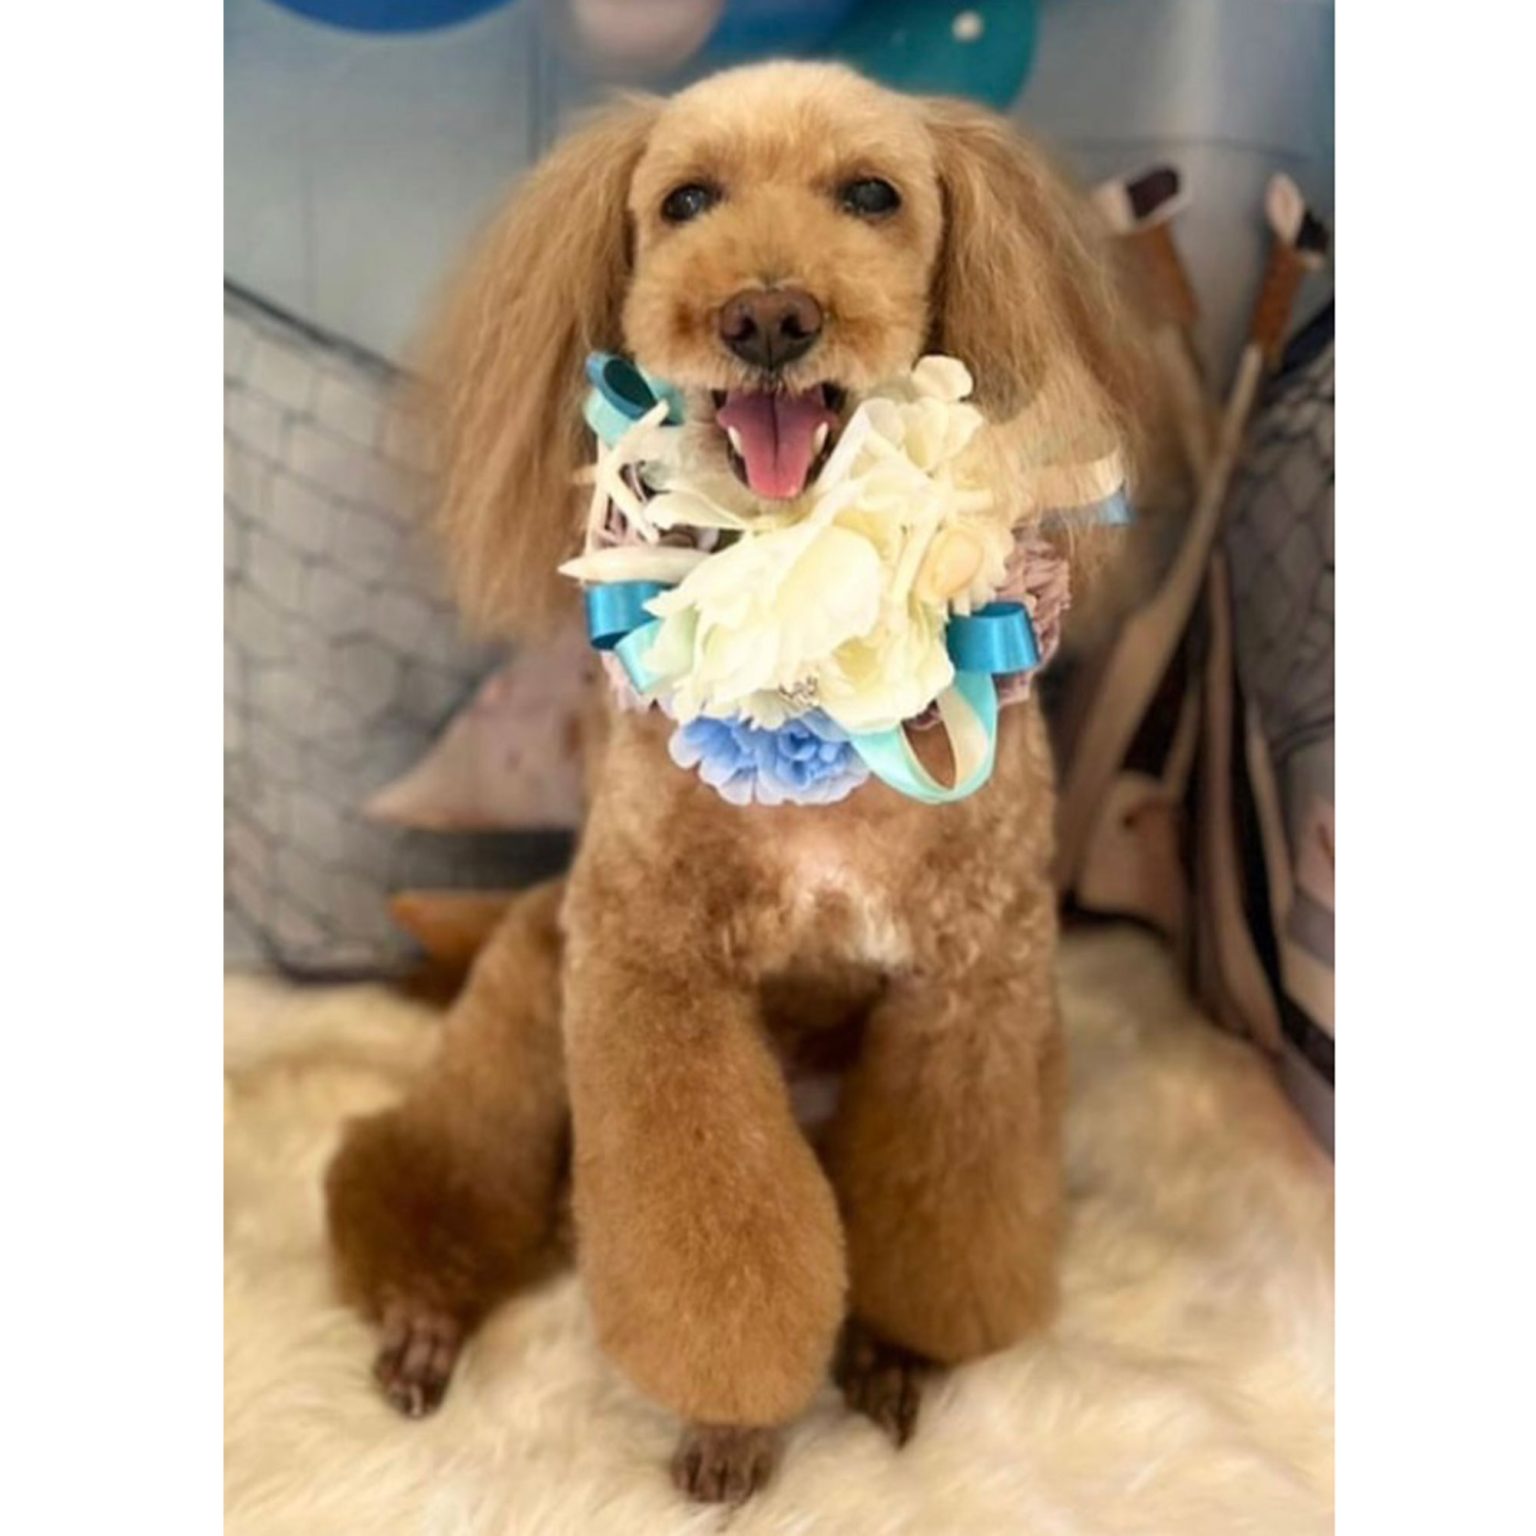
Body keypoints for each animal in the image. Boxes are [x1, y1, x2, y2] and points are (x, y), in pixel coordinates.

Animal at [325, 61, 1167, 1505]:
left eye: (874, 195)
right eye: (685, 202)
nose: (768, 314)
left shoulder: (972, 985)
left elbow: (943, 1209)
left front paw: (897, 1347)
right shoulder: (651, 978)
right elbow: (711, 1253)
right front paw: (731, 1427)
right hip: (531, 995)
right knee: (443, 1166)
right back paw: (427, 1313)